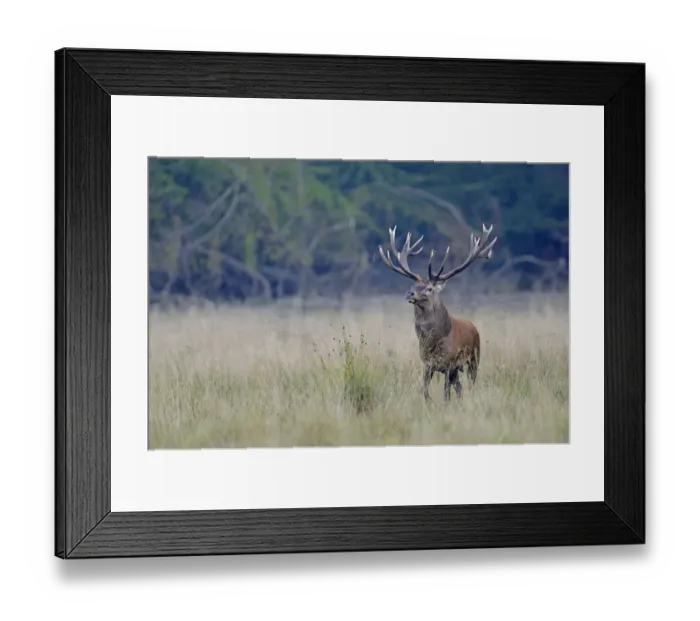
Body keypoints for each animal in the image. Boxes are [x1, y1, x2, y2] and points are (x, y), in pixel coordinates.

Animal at [378, 223, 498, 402]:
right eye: (413, 286)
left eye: (429, 288)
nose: (409, 293)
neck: (433, 342)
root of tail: (473, 326)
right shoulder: (427, 364)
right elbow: (425, 392)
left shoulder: (450, 364)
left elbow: (446, 395)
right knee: (460, 388)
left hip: (475, 358)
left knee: (470, 385)